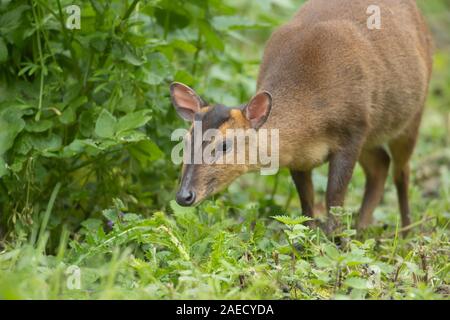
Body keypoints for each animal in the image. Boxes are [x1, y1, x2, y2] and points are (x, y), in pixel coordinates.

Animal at [168, 0, 432, 231]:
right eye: (185, 141)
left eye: (224, 145)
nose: (184, 195)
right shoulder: (296, 155)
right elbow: (307, 202)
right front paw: (307, 242)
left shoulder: (354, 129)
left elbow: (334, 199)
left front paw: (336, 242)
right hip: (373, 133)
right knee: (380, 164)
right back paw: (362, 228)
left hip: (413, 113)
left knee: (401, 171)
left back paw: (406, 232)